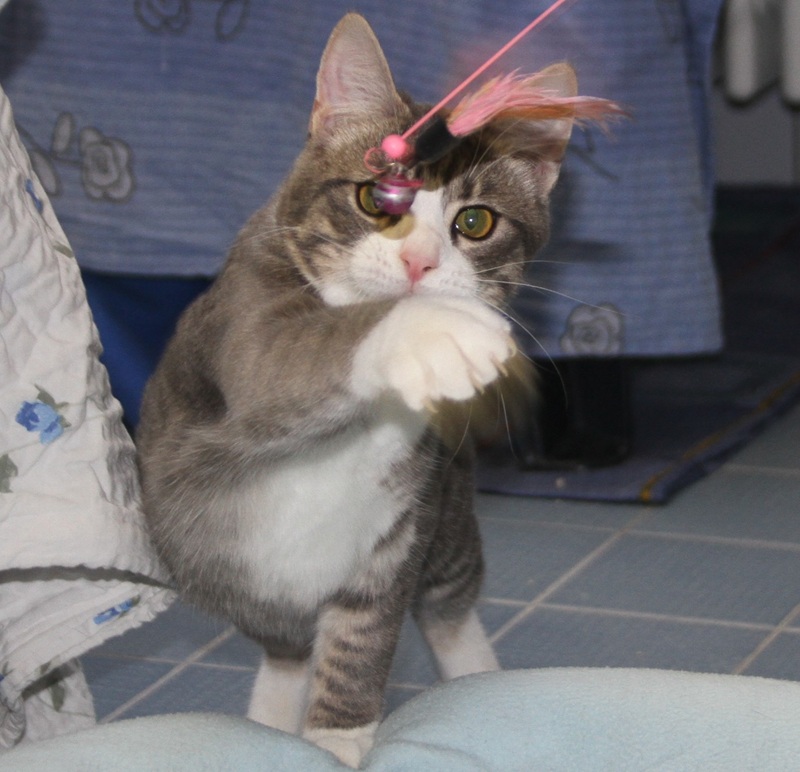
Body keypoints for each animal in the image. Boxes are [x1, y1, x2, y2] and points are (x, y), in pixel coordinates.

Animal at [136, 13, 576, 767]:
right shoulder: (238, 328)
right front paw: (433, 332)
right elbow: (285, 357)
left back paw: (474, 676)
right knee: (284, 647)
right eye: (375, 198)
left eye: (475, 222)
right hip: (247, 582)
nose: (419, 261)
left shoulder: (392, 540)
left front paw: (339, 736)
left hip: (447, 513)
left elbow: (361, 639)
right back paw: (271, 709)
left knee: (449, 605)